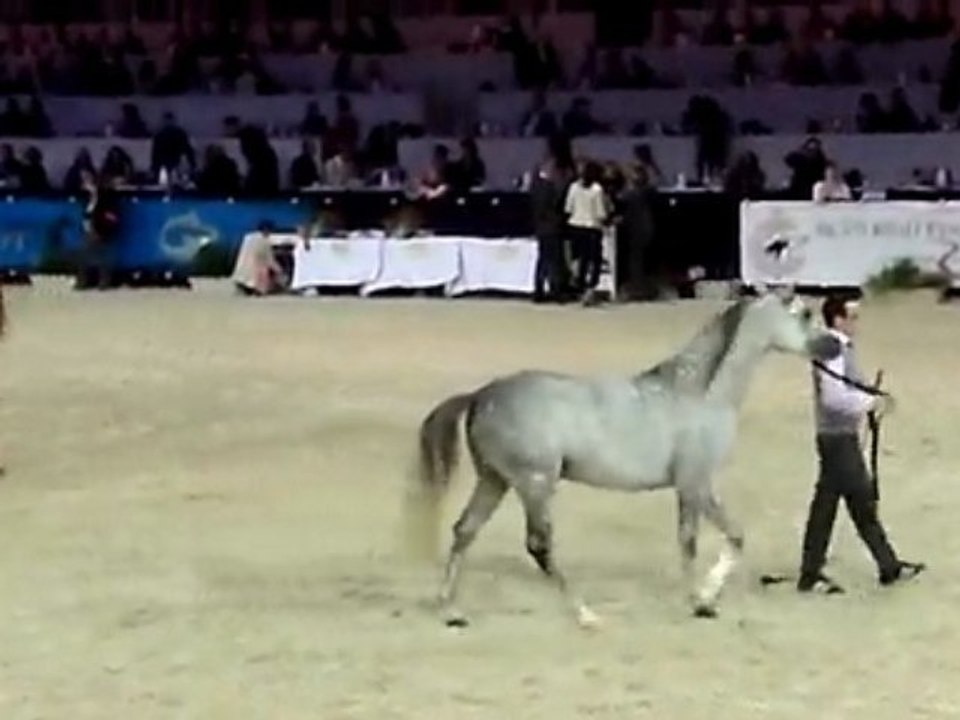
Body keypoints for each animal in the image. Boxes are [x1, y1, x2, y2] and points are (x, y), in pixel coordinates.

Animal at [404, 285, 842, 628]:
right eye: (805, 314)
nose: (837, 345)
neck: (698, 393)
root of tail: (481, 394)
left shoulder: (696, 485)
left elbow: (722, 537)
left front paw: (706, 599)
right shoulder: (693, 483)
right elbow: (700, 540)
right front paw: (700, 601)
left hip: (494, 480)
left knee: (464, 531)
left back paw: (452, 611)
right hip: (535, 483)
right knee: (538, 545)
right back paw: (585, 614)